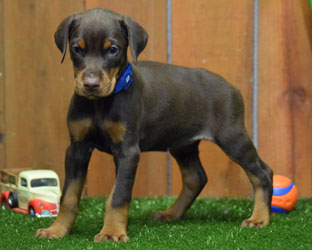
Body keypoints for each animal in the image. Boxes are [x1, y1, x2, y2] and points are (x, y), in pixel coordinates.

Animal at [34, 8, 272, 242]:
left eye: (113, 49)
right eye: (77, 49)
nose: (90, 85)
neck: (100, 104)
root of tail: (233, 87)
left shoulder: (128, 151)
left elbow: (118, 195)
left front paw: (112, 232)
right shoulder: (77, 148)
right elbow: (69, 195)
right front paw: (57, 229)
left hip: (232, 137)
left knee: (262, 172)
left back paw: (259, 218)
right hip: (183, 144)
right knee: (195, 178)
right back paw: (171, 213)